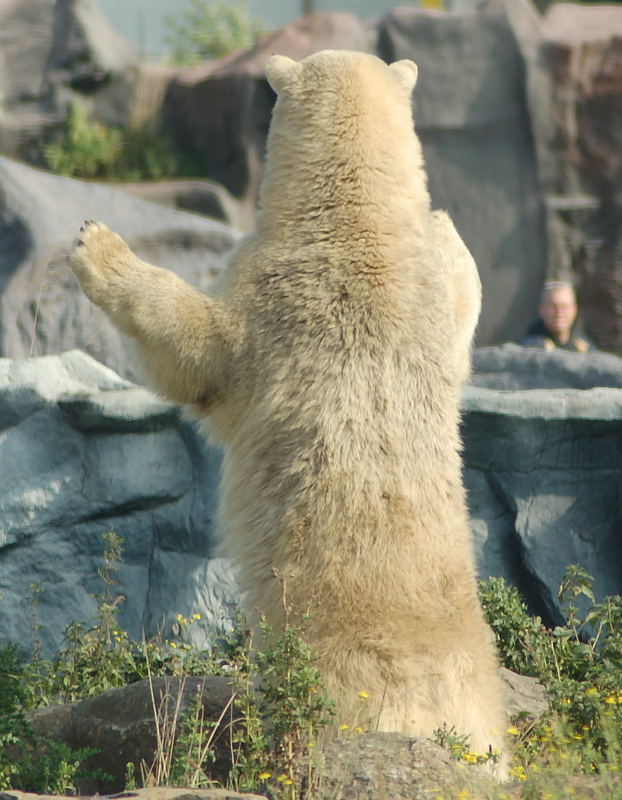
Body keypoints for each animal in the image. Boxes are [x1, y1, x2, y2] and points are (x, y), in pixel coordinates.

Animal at [70, 48, 508, 764]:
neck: (357, 217)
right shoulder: (431, 314)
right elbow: (461, 305)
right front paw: (448, 229)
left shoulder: (281, 298)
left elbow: (200, 350)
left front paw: (97, 244)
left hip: (327, 675)